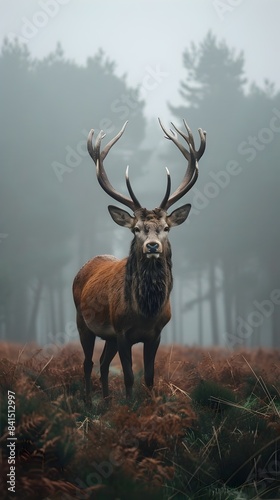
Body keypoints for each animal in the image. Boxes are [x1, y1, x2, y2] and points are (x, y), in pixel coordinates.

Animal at [72, 118, 206, 402]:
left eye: (166, 227)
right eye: (136, 229)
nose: (152, 245)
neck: (145, 312)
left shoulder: (155, 334)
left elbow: (149, 377)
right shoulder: (122, 332)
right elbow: (128, 376)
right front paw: (130, 406)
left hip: (108, 336)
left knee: (102, 363)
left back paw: (107, 402)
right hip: (82, 321)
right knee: (88, 363)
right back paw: (89, 402)